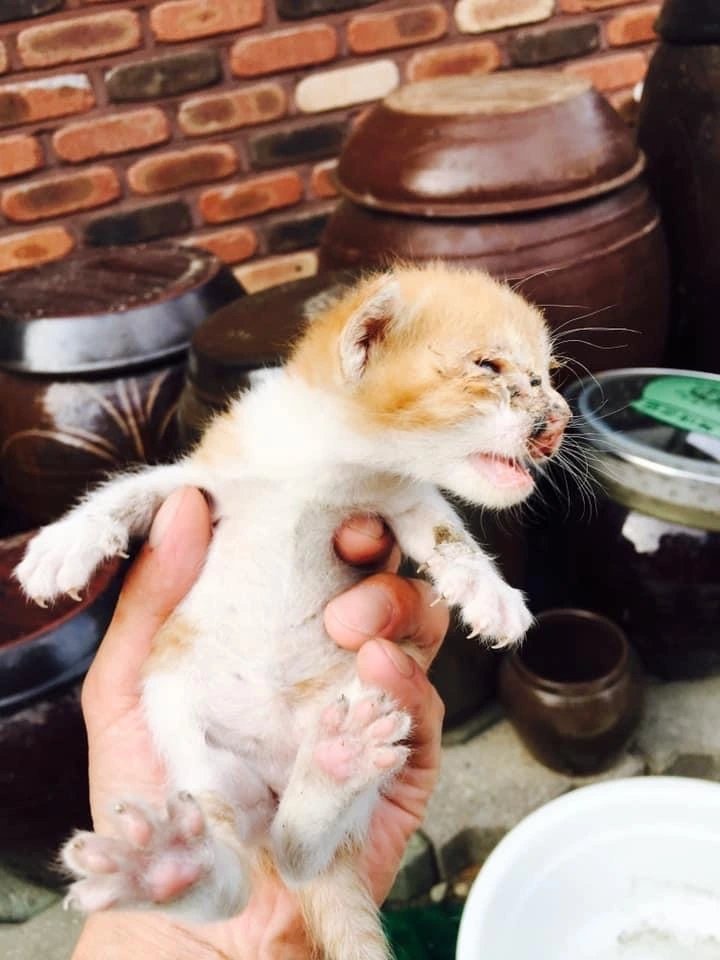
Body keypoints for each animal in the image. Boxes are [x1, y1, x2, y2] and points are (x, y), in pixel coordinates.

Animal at [15, 263, 569, 960]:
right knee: (240, 878)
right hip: (191, 751)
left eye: (546, 375)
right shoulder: (205, 479)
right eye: (489, 366)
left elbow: (449, 537)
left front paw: (490, 595)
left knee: (294, 857)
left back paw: (334, 765)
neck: (332, 470)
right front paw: (62, 547)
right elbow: (130, 490)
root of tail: (279, 778)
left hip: (362, 710)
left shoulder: (404, 502)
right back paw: (169, 867)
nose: (560, 420)